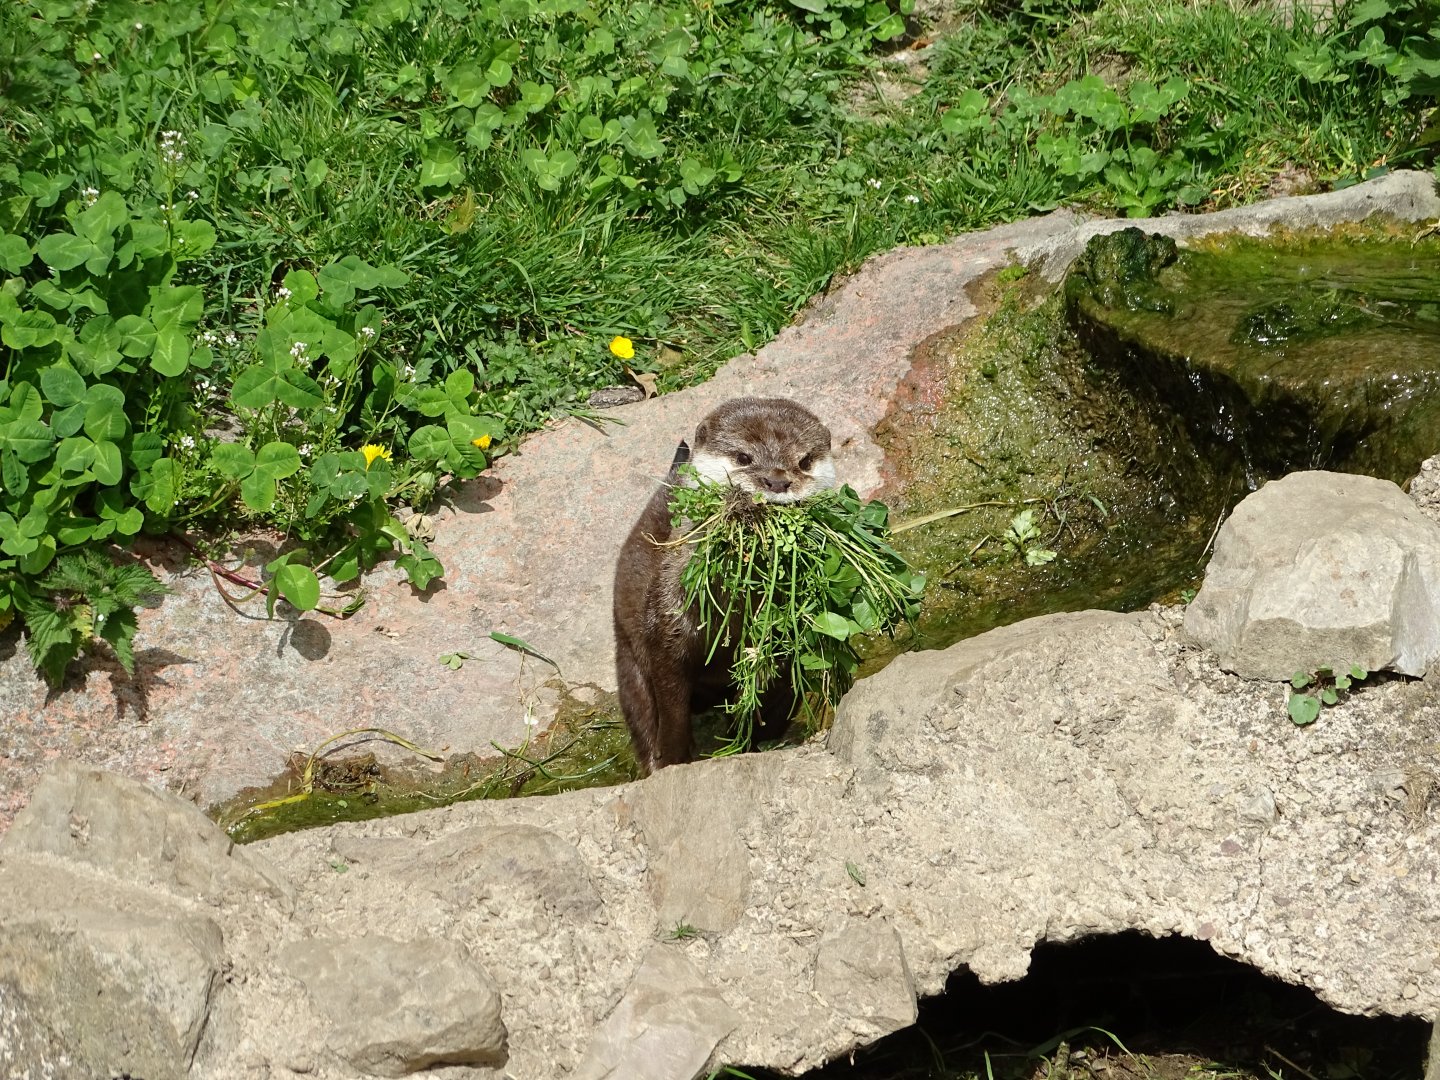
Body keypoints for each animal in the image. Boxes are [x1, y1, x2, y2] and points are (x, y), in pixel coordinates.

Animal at [613, 397, 838, 773]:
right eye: (743, 457)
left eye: (805, 461)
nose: (776, 481)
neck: (729, 615)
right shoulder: (667, 623)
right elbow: (671, 707)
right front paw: (671, 761)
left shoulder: (774, 645)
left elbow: (758, 704)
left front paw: (738, 747)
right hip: (626, 649)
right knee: (639, 707)